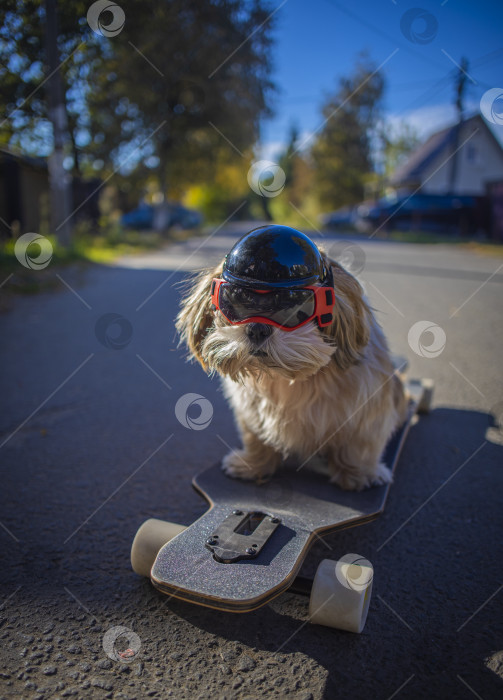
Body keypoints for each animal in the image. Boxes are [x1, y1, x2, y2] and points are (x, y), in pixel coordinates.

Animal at [175, 227, 408, 490]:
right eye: (238, 300)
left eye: (291, 305)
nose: (257, 328)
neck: (287, 378)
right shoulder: (251, 413)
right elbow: (256, 437)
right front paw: (253, 464)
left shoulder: (368, 413)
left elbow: (359, 445)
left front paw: (357, 474)